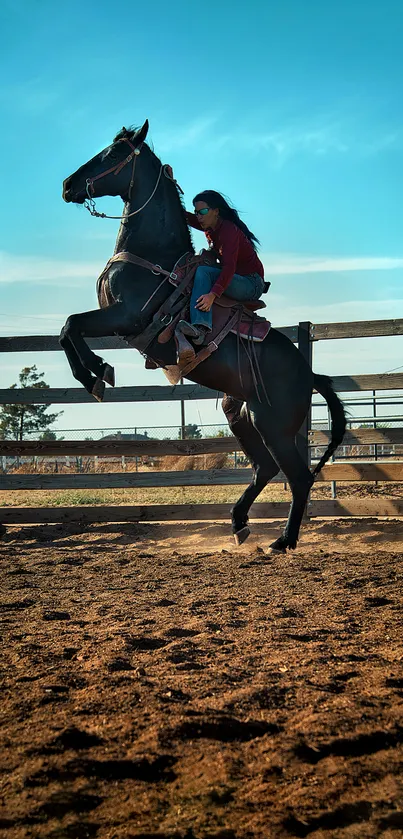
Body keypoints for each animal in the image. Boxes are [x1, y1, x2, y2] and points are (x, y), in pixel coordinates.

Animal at [61, 118, 346, 552]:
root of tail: (309, 374)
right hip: (240, 413)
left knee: (297, 476)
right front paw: (95, 373)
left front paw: (96, 373)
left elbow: (71, 325)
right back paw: (240, 524)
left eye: (114, 154)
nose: (68, 184)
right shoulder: (116, 320)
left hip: (273, 424)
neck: (156, 259)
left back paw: (283, 540)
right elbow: (68, 328)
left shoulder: (124, 317)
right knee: (264, 468)